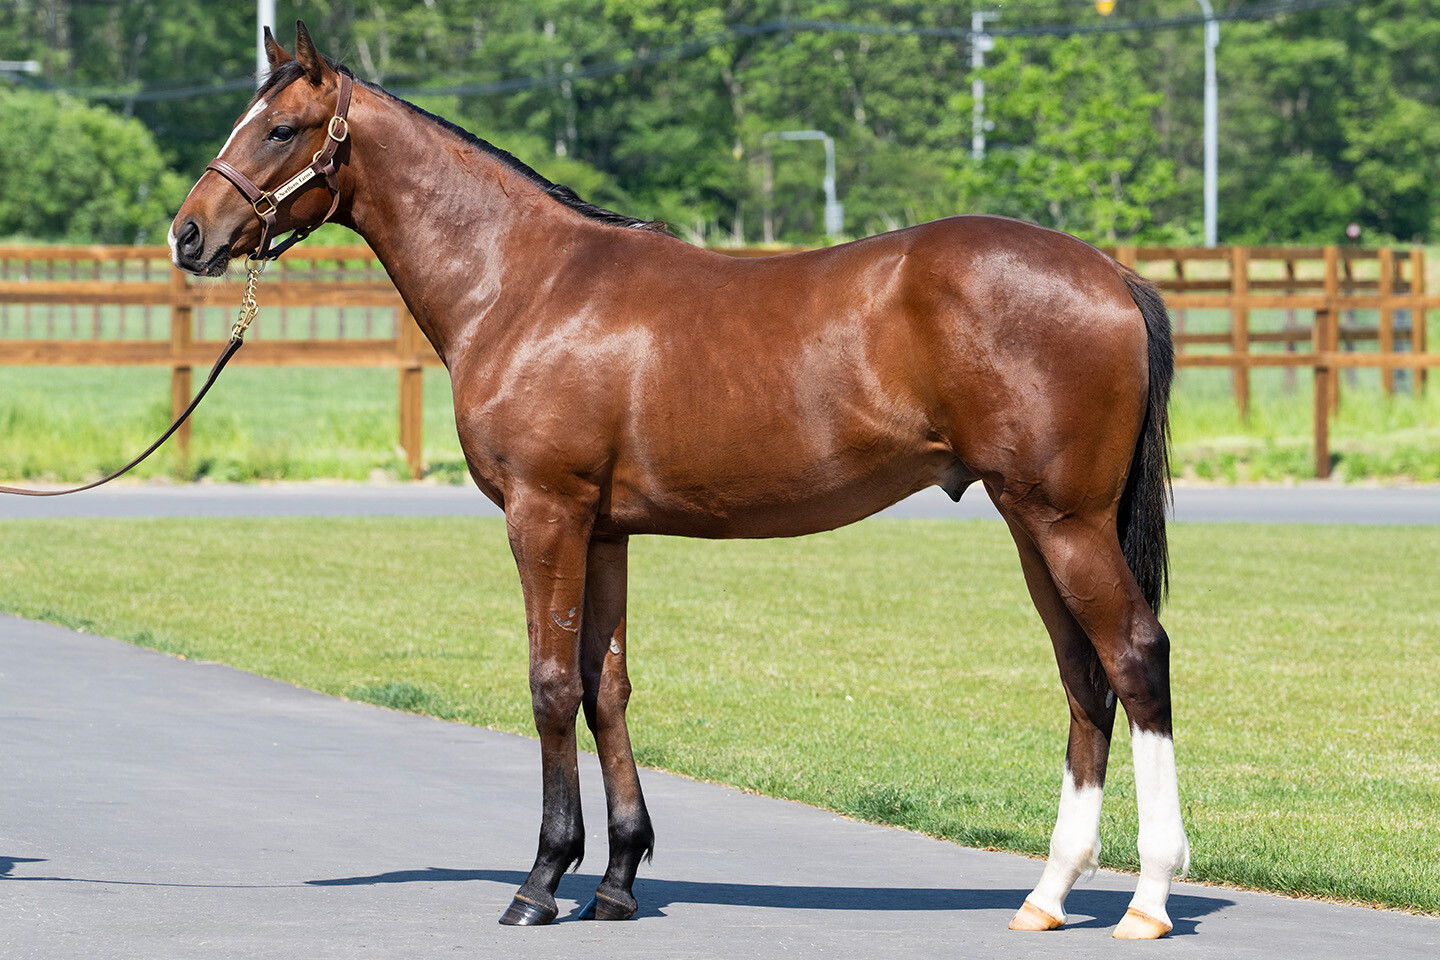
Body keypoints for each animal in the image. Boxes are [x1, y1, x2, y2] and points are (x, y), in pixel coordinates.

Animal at [170, 23, 1189, 940]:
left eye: (279, 129)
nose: (188, 235)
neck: (526, 284)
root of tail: (1112, 275)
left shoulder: (545, 514)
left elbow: (550, 684)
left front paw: (541, 881)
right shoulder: (605, 530)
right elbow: (606, 688)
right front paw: (617, 880)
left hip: (1066, 522)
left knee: (1136, 656)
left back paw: (1147, 901)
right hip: (1030, 523)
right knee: (1083, 678)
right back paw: (1048, 895)